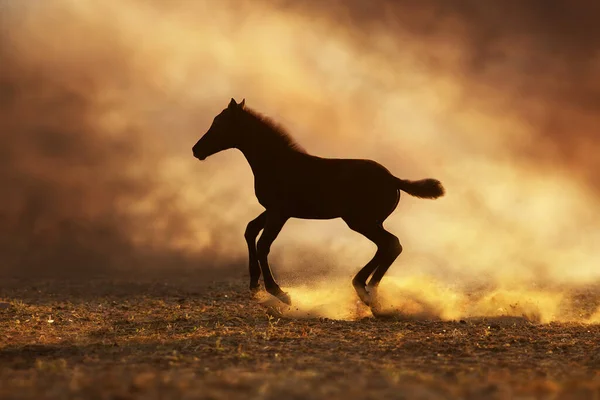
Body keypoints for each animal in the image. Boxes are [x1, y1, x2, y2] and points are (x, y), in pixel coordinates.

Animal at [193, 97, 446, 310]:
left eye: (219, 124)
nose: (196, 150)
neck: (276, 161)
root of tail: (393, 178)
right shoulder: (272, 210)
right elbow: (250, 230)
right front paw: (254, 286)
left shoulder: (279, 212)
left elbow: (264, 244)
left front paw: (279, 293)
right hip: (370, 221)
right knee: (389, 246)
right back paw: (368, 291)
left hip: (359, 221)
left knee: (390, 244)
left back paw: (365, 291)